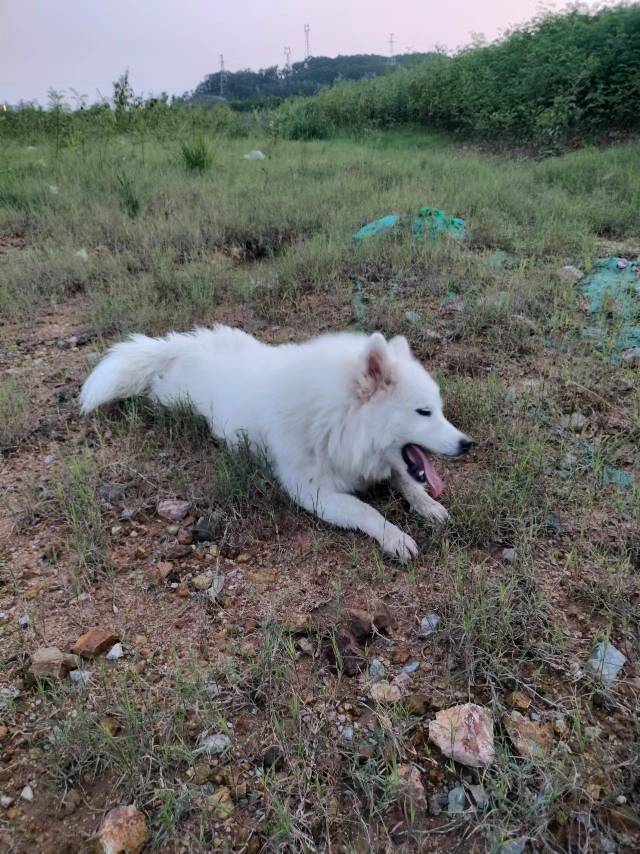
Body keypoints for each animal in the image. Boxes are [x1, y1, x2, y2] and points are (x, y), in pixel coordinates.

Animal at [79, 328, 470, 560]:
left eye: (440, 410)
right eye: (424, 412)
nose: (467, 443)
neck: (338, 419)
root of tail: (182, 346)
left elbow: (407, 480)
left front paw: (428, 505)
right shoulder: (313, 492)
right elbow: (366, 511)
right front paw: (395, 537)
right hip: (174, 398)